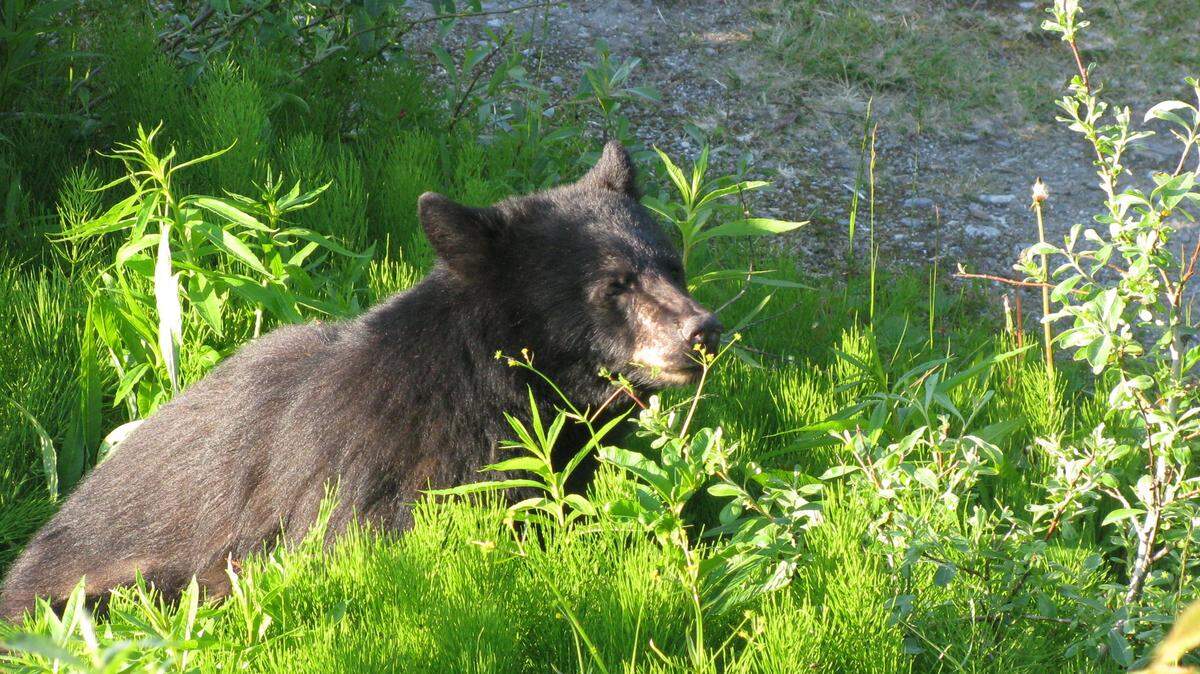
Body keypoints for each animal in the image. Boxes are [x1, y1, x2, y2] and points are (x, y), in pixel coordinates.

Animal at [0, 141, 722, 621]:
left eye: (672, 264)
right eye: (614, 286)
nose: (702, 331)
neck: (502, 398)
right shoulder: (385, 468)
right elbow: (367, 542)